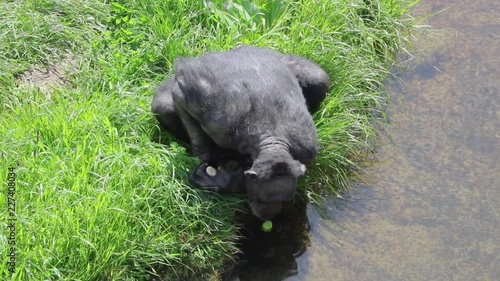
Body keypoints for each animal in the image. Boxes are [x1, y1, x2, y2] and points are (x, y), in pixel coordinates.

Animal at [152, 45, 332, 219]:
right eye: (264, 198)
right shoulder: (219, 123)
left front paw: (222, 179)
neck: (272, 139)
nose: (269, 212)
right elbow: (181, 99)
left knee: (319, 80)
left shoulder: (306, 150)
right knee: (164, 106)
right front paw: (205, 158)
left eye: (284, 200)